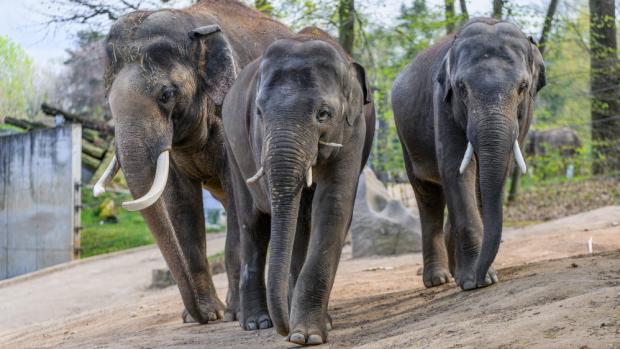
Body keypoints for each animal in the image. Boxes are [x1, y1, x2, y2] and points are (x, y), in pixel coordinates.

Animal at [223, 26, 376, 342]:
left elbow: (333, 205)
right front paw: (299, 333)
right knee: (252, 224)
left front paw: (306, 335)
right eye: (259, 112)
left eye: (323, 114)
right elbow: (286, 219)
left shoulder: (353, 130)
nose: (283, 329)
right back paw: (257, 322)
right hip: (232, 151)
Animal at [392, 18, 548, 290]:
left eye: (523, 87)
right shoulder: (442, 101)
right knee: (428, 196)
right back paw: (438, 279)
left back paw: (452, 274)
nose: (480, 276)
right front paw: (474, 281)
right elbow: (456, 168)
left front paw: (479, 278)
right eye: (461, 88)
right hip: (405, 139)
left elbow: (491, 174)